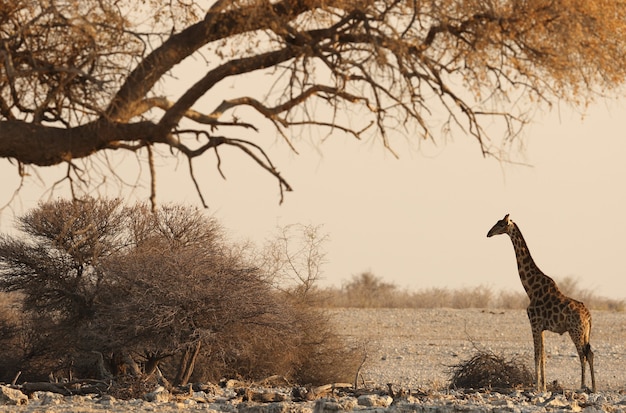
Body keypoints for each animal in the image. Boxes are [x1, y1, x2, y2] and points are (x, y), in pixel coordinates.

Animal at [486, 214, 592, 392]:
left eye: (500, 224)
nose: (488, 233)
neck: (530, 289)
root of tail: (589, 317)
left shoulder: (534, 324)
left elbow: (537, 355)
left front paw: (536, 387)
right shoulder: (541, 327)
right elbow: (542, 356)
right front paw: (542, 387)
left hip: (575, 331)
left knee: (582, 355)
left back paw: (583, 386)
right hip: (585, 332)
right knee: (590, 353)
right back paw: (594, 388)